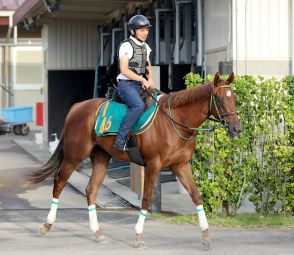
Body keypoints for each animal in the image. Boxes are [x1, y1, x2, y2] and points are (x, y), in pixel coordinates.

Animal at [26, 72, 240, 249]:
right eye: (220, 99)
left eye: (235, 99)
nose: (236, 128)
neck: (174, 121)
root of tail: (78, 107)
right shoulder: (153, 165)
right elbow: (146, 199)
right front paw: (138, 236)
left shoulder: (181, 166)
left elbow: (196, 196)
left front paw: (206, 237)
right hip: (74, 156)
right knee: (59, 182)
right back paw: (47, 225)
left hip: (101, 158)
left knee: (91, 190)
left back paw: (98, 233)